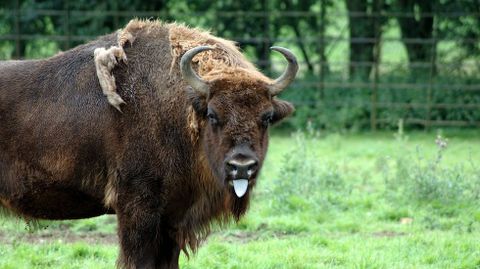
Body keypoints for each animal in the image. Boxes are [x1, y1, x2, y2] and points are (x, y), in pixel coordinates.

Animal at [0, 19, 298, 266]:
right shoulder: (138, 208)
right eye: (213, 114)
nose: (242, 166)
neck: (182, 108)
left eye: (266, 117)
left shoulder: (173, 218)